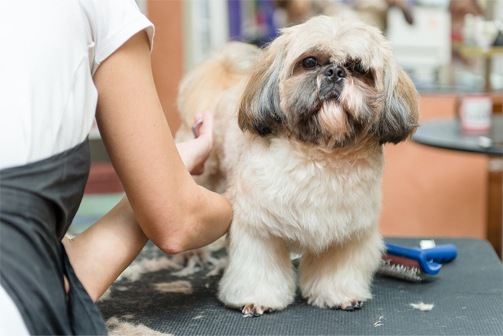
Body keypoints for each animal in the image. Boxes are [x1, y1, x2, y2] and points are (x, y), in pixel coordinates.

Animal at [175, 14, 420, 316]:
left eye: (358, 68)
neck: (321, 156)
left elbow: (337, 268)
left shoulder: (348, 230)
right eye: (310, 62)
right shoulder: (257, 225)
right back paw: (194, 254)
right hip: (200, 177)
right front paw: (255, 299)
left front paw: (340, 295)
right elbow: (257, 267)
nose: (335, 72)